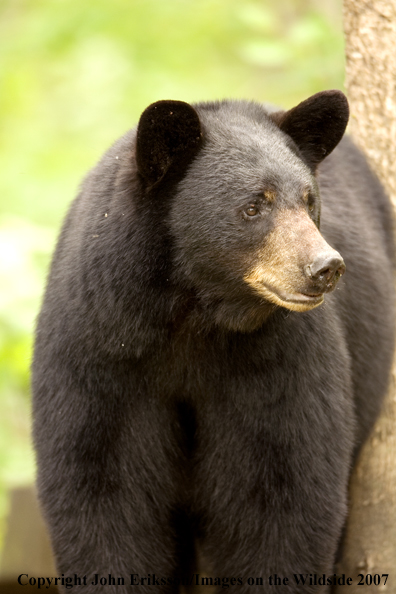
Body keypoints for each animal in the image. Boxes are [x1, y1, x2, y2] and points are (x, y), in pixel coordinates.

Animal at [32, 90, 394, 588]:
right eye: (253, 206)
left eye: (309, 202)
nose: (326, 267)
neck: (194, 316)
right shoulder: (99, 352)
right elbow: (103, 494)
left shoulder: (278, 362)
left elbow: (283, 497)